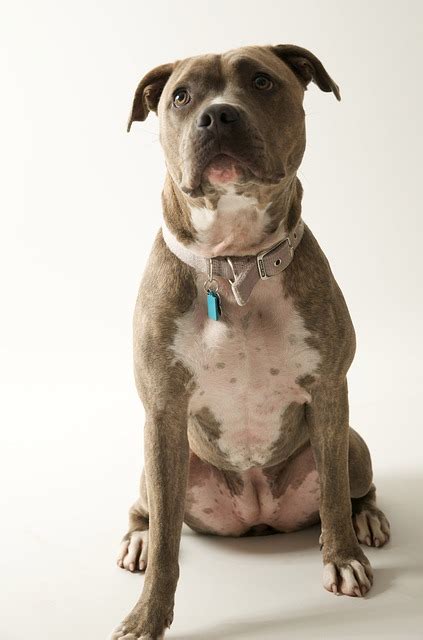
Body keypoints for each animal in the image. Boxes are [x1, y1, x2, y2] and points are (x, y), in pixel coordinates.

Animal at [111, 44, 390, 640]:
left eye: (262, 82)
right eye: (181, 97)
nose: (218, 115)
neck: (237, 265)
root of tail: (258, 515)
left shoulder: (330, 392)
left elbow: (333, 496)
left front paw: (343, 558)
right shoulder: (162, 411)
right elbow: (168, 540)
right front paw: (148, 615)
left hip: (353, 442)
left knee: (352, 487)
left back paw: (369, 518)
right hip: (157, 464)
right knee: (150, 511)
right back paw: (138, 537)